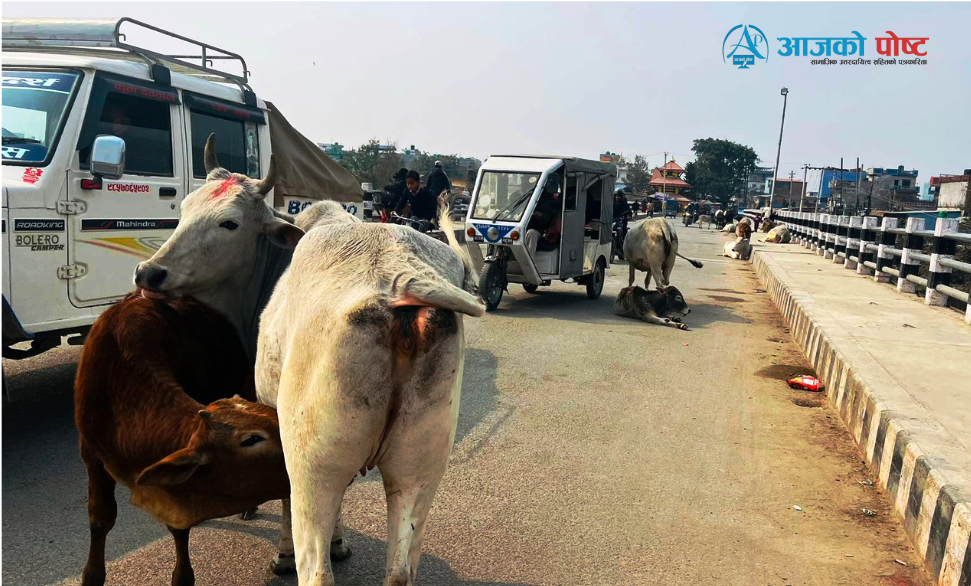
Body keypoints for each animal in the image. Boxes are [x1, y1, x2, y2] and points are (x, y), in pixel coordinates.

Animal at [75, 294, 288, 584]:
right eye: (252, 439)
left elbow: (178, 528)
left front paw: (182, 576)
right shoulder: (91, 453)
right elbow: (100, 519)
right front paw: (92, 575)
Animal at [258, 202, 486, 584]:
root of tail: (398, 273)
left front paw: (285, 556)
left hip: (313, 463)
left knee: (317, 569)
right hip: (421, 463)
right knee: (399, 569)